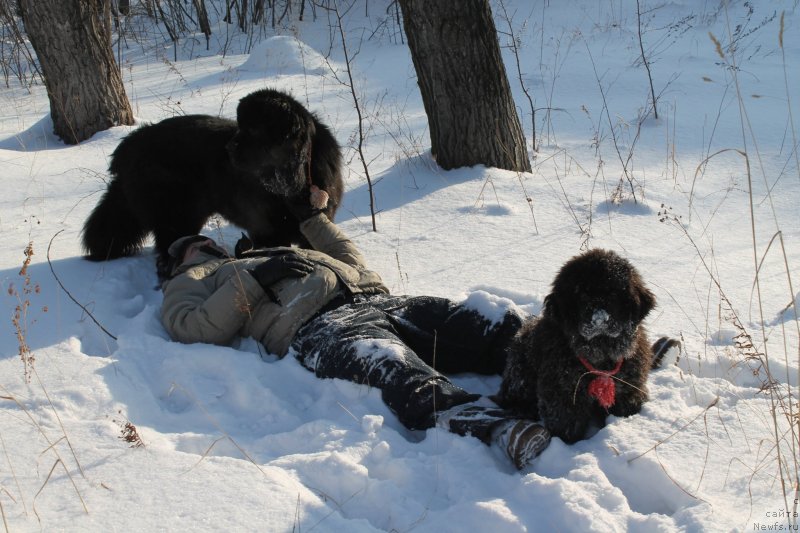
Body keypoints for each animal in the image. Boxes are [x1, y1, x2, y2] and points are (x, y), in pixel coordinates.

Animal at [82, 88, 344, 274]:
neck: (292, 180)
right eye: (241, 127)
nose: (229, 147)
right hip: (175, 215)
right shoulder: (266, 230)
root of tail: (131, 143)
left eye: (253, 130)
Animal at [496, 249, 672, 444]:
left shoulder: (628, 390)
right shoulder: (563, 397)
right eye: (582, 295)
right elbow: (566, 425)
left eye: (613, 294)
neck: (601, 354)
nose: (599, 318)